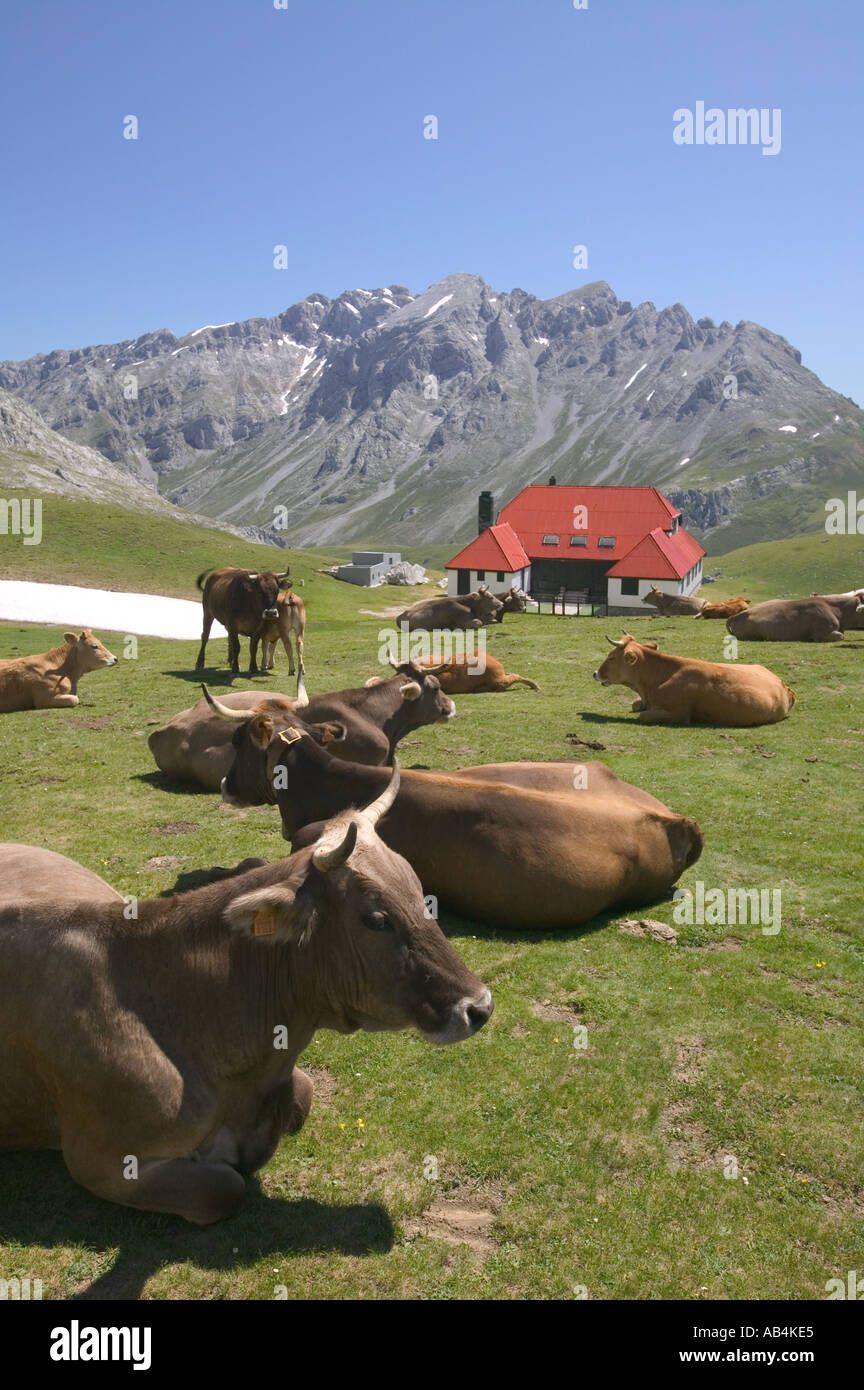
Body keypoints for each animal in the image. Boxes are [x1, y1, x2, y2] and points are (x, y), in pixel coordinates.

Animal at [0, 800, 491, 1223]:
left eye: (421, 894)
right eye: (377, 919)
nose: (480, 1005)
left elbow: (305, 1093)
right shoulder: (100, 1160)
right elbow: (223, 1189)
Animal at [594, 636, 800, 733]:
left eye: (611, 657)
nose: (595, 673)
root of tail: (784, 686)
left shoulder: (678, 714)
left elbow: (643, 716)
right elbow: (635, 704)